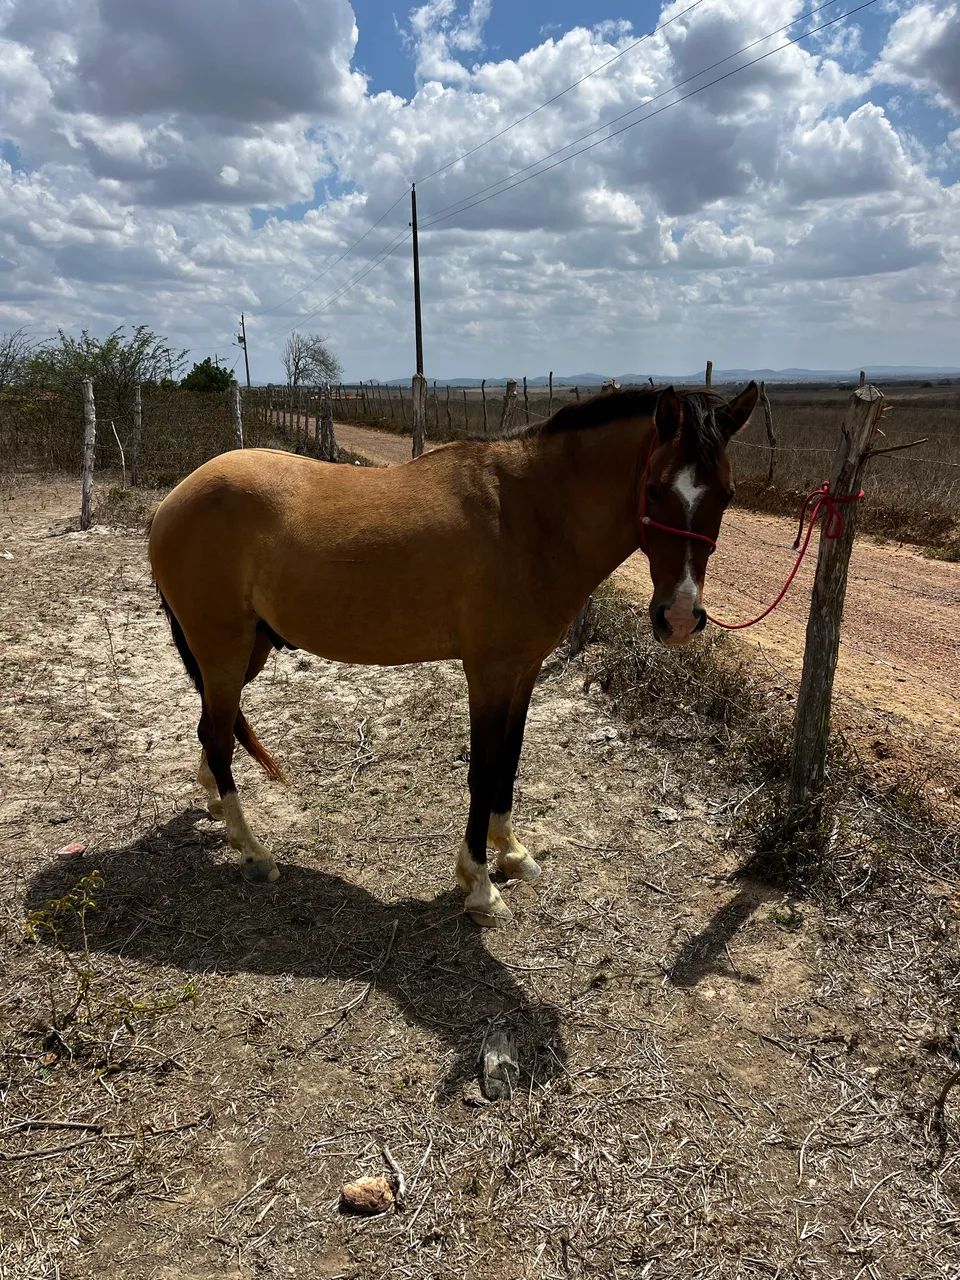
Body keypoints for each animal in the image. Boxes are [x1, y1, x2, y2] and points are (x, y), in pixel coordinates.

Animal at [148, 382, 758, 927]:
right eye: (655, 489)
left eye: (727, 495)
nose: (681, 618)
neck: (528, 515)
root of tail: (174, 500)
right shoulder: (488, 672)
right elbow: (483, 770)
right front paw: (480, 885)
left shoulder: (523, 670)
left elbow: (509, 762)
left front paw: (511, 852)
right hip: (223, 649)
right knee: (219, 738)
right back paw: (253, 852)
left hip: (246, 649)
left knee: (213, 730)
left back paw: (217, 809)